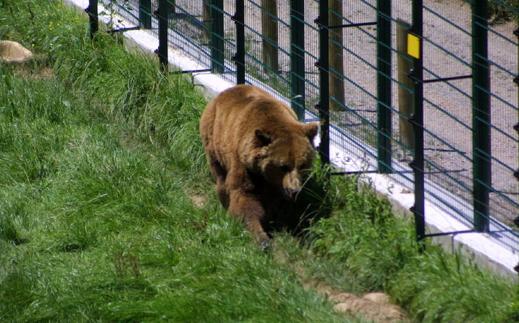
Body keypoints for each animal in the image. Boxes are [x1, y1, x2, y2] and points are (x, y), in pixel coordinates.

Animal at [200, 84, 318, 248]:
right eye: (283, 166)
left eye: (302, 165)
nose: (294, 189)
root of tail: (227, 91)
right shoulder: (243, 164)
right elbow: (246, 198)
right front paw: (261, 237)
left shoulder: (275, 184)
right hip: (214, 140)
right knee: (221, 176)